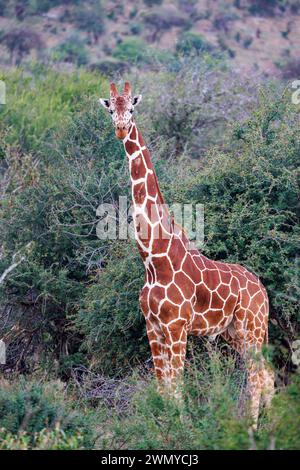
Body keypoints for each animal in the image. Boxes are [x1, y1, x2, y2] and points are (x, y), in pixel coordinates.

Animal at [99, 82, 274, 428]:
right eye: (111, 108)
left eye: (132, 108)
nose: (121, 128)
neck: (154, 259)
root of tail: (262, 289)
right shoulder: (153, 326)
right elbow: (162, 386)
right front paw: (162, 427)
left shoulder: (177, 327)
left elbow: (177, 387)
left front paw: (180, 429)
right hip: (234, 333)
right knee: (265, 374)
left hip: (253, 328)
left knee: (258, 375)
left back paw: (254, 428)